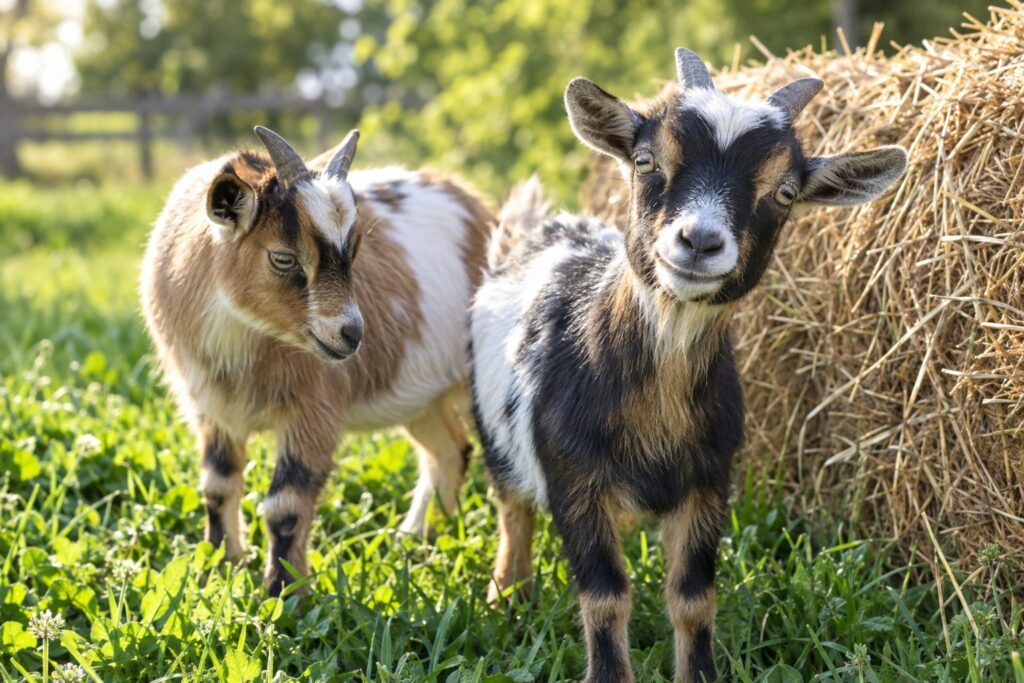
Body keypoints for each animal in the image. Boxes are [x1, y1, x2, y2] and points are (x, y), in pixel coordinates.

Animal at [141, 126, 493, 595]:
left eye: (356, 250)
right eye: (283, 258)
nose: (352, 334)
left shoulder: (314, 409)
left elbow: (285, 503)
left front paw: (284, 593)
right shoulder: (210, 407)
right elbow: (217, 486)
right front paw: (217, 566)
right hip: (422, 396)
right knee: (451, 449)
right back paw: (417, 540)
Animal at [469, 48, 906, 682]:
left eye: (784, 192)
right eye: (647, 161)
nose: (699, 242)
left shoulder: (709, 480)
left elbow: (694, 597)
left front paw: (698, 672)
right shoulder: (574, 478)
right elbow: (605, 595)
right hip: (493, 434)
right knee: (512, 508)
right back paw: (508, 593)